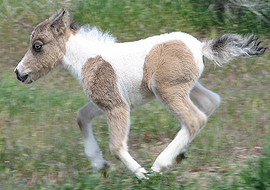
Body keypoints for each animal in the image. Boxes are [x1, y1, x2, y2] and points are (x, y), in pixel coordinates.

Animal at [14, 8, 266, 179]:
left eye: (37, 46)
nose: (19, 73)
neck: (88, 59)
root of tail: (200, 47)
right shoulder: (103, 102)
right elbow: (81, 117)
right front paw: (100, 165)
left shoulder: (116, 106)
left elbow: (116, 146)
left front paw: (143, 175)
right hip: (188, 87)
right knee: (210, 102)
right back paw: (180, 154)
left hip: (167, 89)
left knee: (195, 119)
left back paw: (159, 165)